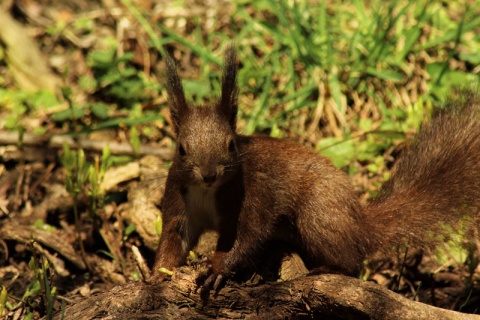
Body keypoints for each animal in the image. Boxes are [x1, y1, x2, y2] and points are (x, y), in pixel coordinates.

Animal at [152, 45, 480, 290]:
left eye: (231, 144)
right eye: (181, 149)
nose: (209, 174)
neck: (208, 192)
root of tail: (361, 224)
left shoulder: (254, 194)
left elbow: (247, 237)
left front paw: (217, 267)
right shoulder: (179, 201)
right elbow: (173, 240)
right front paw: (156, 277)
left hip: (317, 212)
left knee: (350, 260)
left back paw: (324, 269)